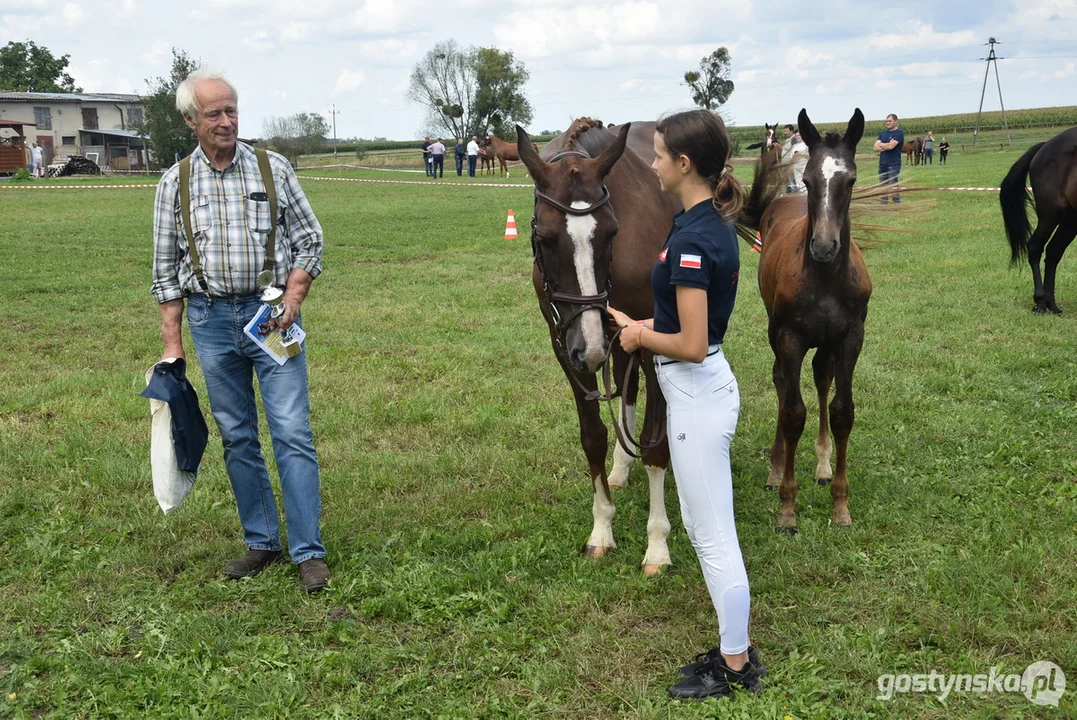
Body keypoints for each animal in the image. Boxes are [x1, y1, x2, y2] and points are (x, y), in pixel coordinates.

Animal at [514, 117, 680, 572]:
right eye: (545, 238)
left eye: (612, 232)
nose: (589, 349)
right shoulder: (566, 343)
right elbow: (593, 436)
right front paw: (602, 529)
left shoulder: (652, 339)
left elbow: (656, 443)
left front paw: (657, 545)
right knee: (626, 388)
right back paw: (621, 468)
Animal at [749, 108, 874, 533]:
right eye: (807, 180)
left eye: (850, 180)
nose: (822, 246)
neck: (824, 278)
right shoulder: (790, 337)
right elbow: (792, 412)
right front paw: (787, 509)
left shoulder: (850, 337)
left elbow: (842, 411)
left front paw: (841, 506)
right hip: (776, 332)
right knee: (781, 381)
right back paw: (775, 469)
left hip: (827, 342)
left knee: (822, 376)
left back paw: (822, 465)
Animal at [995, 128, 1077, 312]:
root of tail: (1044, 146)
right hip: (1050, 215)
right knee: (1035, 247)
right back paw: (1040, 301)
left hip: (1071, 218)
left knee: (1053, 251)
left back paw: (1051, 304)